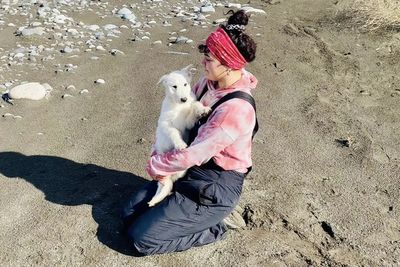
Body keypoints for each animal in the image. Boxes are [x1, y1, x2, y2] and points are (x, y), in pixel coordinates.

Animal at [148, 65, 211, 207]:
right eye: (174, 87)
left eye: (185, 84)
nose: (184, 99)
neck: (178, 106)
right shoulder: (166, 124)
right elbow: (174, 132)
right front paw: (180, 144)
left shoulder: (188, 122)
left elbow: (194, 105)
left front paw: (202, 109)